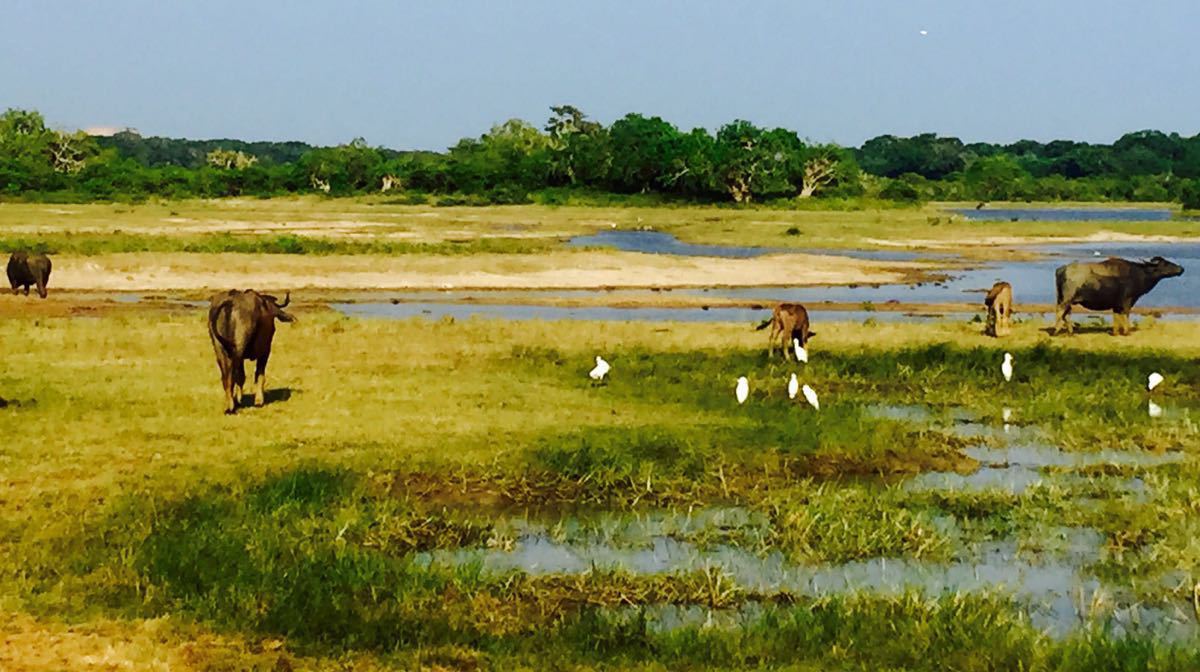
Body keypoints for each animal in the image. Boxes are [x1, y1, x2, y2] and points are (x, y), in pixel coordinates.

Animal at [1056, 254, 1185, 336]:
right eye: (1166, 264)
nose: (1181, 268)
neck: (1138, 274)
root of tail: (1062, 269)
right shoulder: (1127, 300)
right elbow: (1125, 315)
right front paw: (1127, 332)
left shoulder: (1116, 304)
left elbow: (1116, 317)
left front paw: (1116, 332)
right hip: (1066, 299)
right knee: (1060, 312)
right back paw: (1056, 331)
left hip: (1064, 299)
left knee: (1066, 313)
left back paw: (1070, 332)